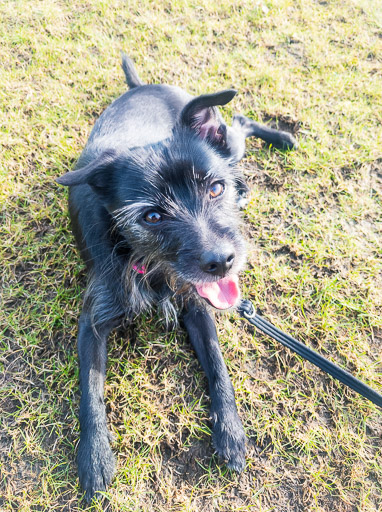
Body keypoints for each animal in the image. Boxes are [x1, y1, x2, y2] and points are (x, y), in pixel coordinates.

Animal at [56, 56, 296, 500]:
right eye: (151, 215)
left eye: (214, 189)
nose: (223, 262)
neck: (145, 262)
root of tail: (142, 85)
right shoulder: (93, 322)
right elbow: (90, 389)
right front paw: (94, 456)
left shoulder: (198, 305)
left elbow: (218, 365)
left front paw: (231, 433)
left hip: (227, 141)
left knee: (241, 122)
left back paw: (279, 140)